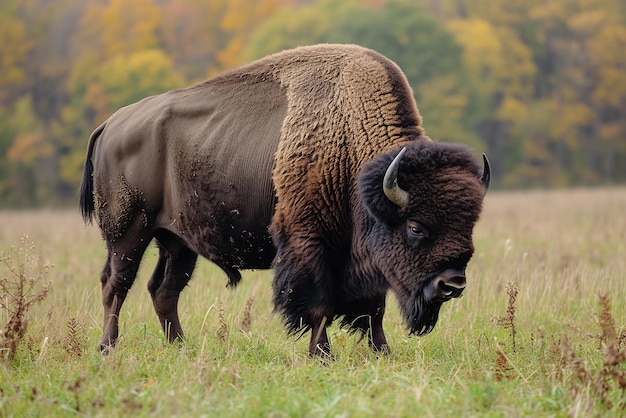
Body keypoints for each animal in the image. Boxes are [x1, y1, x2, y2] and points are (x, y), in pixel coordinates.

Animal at [79, 44, 488, 358]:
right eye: (416, 227)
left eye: (470, 224)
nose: (453, 284)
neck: (349, 142)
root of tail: (112, 123)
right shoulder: (310, 243)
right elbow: (320, 305)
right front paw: (322, 355)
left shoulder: (363, 257)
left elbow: (373, 309)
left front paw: (382, 352)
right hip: (129, 231)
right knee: (116, 283)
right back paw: (107, 348)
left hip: (178, 242)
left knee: (163, 290)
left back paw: (180, 346)